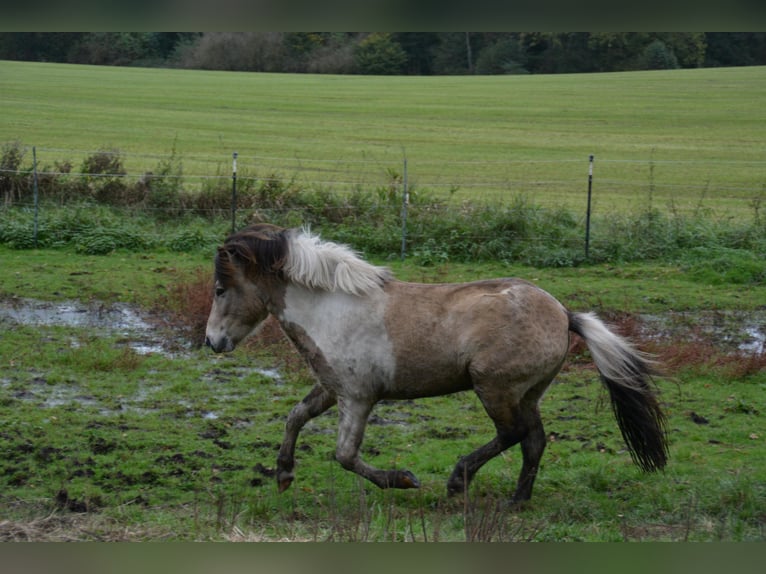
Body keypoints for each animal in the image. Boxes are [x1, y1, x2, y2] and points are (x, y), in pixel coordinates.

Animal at [204, 223, 668, 503]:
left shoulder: (358, 397)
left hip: (494, 387)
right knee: (534, 441)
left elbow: (345, 455)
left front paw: (403, 480)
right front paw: (283, 474)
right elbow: (295, 417)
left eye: (220, 289)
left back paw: (458, 480)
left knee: (513, 434)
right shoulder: (332, 389)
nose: (212, 341)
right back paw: (517, 501)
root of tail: (564, 313)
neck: (332, 310)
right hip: (527, 394)